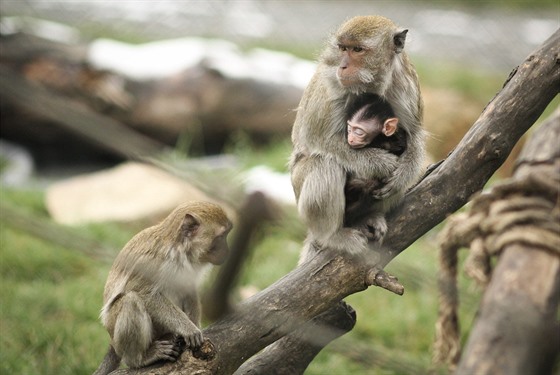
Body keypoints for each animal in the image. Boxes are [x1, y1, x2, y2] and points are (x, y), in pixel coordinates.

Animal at [93, 203, 232, 375]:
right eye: (221, 237)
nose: (226, 252)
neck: (181, 252)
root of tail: (112, 342)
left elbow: (189, 291)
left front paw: (193, 327)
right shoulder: (151, 263)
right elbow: (144, 294)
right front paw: (188, 329)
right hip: (117, 333)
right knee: (130, 301)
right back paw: (139, 359)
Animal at [288, 14, 424, 260]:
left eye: (357, 50)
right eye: (343, 48)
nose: (342, 66)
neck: (374, 84)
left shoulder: (407, 85)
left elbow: (415, 136)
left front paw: (403, 173)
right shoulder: (331, 86)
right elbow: (318, 139)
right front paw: (380, 162)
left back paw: (367, 217)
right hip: (298, 186)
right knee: (325, 165)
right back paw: (332, 236)